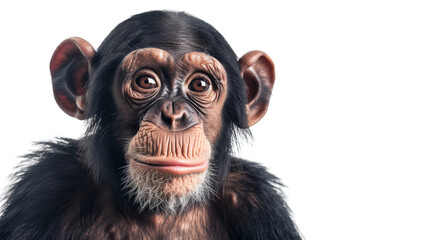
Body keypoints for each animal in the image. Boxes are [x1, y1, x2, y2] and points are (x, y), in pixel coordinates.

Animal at [0, 10, 300, 239]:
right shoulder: (46, 187)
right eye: (146, 81)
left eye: (200, 85)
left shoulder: (260, 203)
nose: (174, 116)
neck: (158, 212)